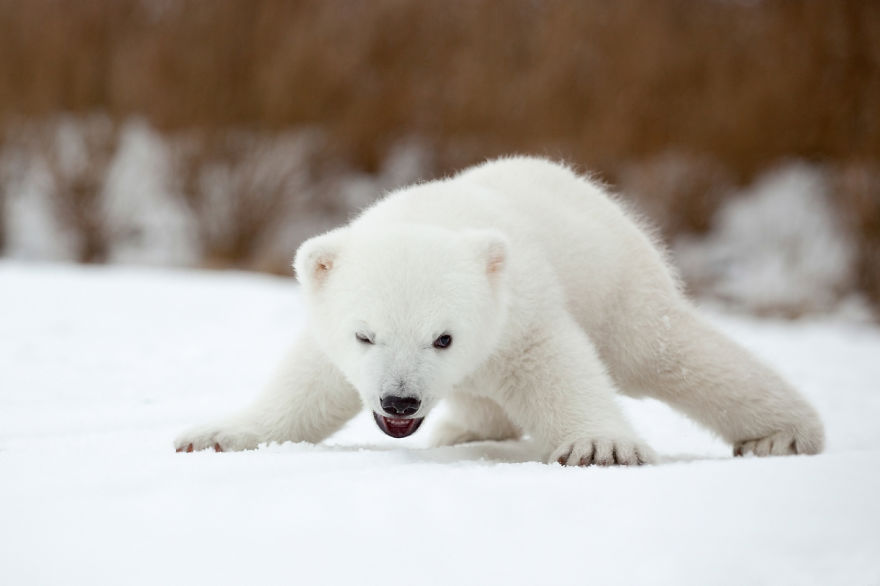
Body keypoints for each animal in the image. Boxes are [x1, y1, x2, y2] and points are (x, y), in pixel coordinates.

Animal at [174, 156, 825, 465]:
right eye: (365, 336)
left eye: (443, 338)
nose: (399, 401)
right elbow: (308, 387)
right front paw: (215, 436)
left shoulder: (522, 313)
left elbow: (559, 368)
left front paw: (600, 448)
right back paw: (465, 430)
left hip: (619, 283)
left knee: (669, 354)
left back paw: (783, 435)